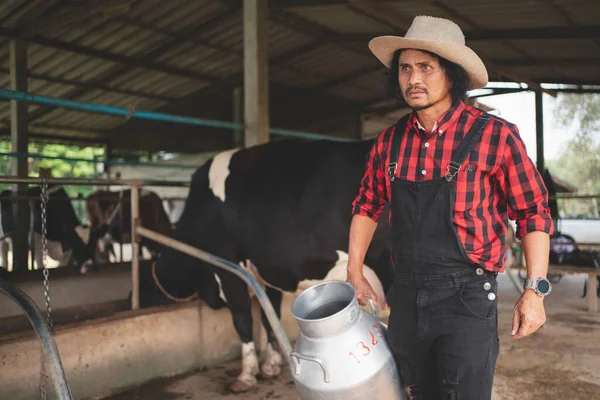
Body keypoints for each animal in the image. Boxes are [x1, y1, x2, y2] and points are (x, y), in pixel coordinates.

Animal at [138, 139, 396, 392]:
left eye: (142, 288)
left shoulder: (228, 266)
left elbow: (242, 317)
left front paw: (246, 374)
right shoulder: (268, 269)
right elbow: (268, 313)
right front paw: (271, 363)